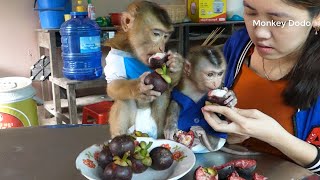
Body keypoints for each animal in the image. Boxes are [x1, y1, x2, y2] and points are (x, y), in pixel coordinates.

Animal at [105, 1, 184, 138]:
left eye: (166, 36)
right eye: (156, 34)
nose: (161, 47)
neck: (134, 52)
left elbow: (169, 86)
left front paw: (176, 64)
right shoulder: (116, 52)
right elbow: (113, 84)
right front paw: (138, 88)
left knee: (163, 95)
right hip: (133, 129)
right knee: (123, 99)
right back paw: (119, 136)